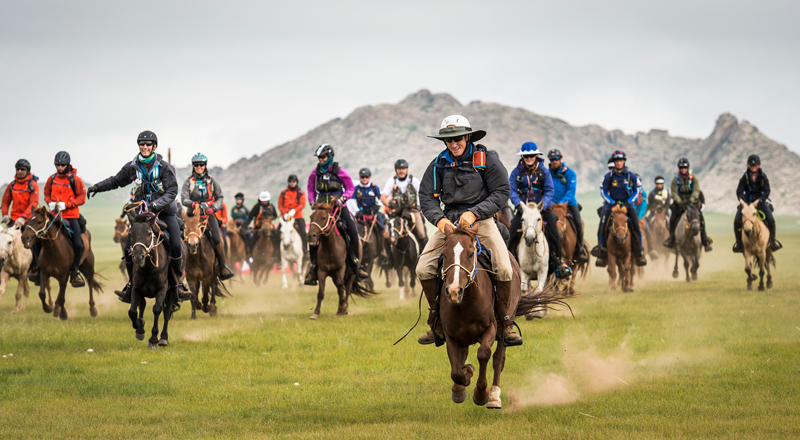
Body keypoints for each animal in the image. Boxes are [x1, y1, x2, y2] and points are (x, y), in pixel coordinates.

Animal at [128, 215, 181, 348]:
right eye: (131, 233)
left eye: (148, 233)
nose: (138, 257)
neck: (149, 268)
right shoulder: (136, 288)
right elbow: (132, 311)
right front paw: (139, 325)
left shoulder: (162, 289)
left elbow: (157, 309)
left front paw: (153, 339)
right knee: (142, 305)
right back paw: (140, 329)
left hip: (171, 292)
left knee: (166, 312)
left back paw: (163, 338)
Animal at [438, 223, 568, 410]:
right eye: (445, 254)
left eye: (470, 254)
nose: (454, 291)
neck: (466, 303)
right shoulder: (451, 335)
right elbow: (456, 369)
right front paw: (462, 383)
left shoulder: (491, 329)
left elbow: (484, 354)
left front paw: (481, 393)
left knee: (498, 359)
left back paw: (494, 396)